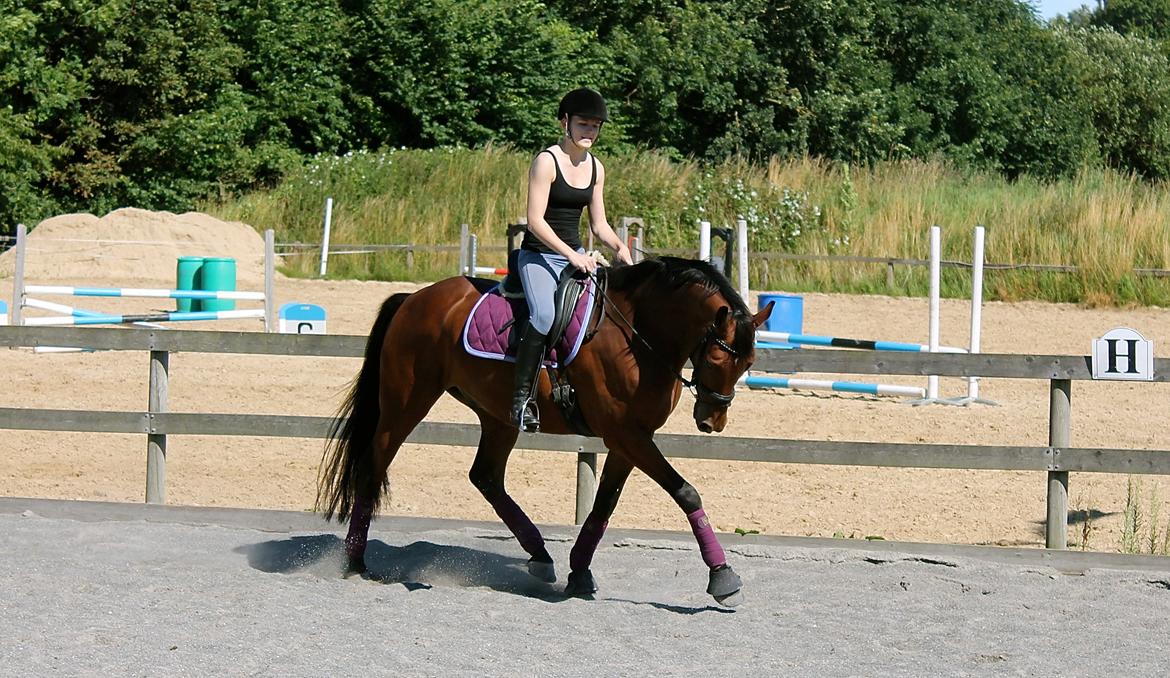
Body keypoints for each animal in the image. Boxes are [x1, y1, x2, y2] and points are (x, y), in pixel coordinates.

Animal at [320, 257, 772, 608]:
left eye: (749, 362)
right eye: (717, 358)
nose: (712, 421)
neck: (638, 336)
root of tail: (414, 299)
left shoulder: (630, 438)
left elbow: (604, 505)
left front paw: (579, 572)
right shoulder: (627, 435)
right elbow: (686, 491)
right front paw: (722, 576)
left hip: (497, 416)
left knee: (485, 477)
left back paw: (539, 554)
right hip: (406, 403)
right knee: (373, 466)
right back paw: (356, 563)